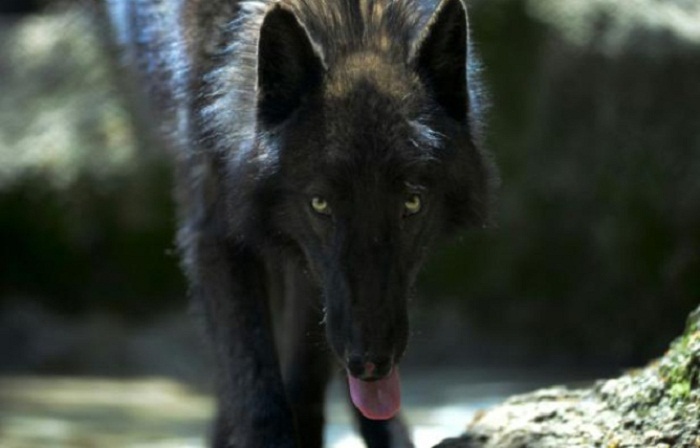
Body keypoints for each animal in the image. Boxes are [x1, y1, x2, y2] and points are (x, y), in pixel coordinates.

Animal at [106, 0, 495, 446]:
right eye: (320, 203)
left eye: (412, 202)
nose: (370, 363)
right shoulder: (215, 230)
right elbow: (254, 383)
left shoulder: (314, 275)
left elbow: (305, 377)